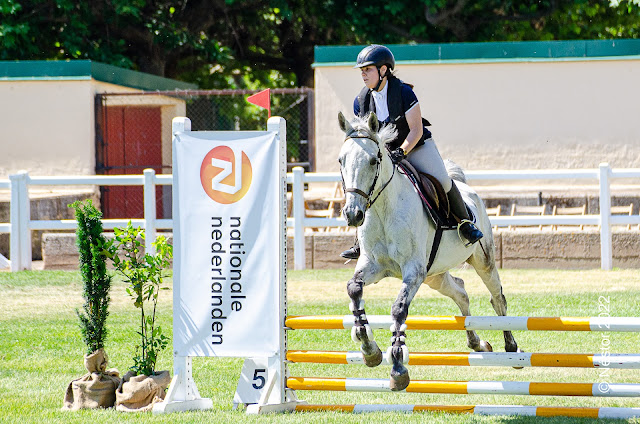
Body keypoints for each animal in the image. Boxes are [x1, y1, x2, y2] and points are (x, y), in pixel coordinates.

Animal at [338, 112, 516, 390]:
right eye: (341, 161)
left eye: (373, 160)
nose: (353, 214)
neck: (383, 210)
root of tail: (469, 190)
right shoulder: (373, 266)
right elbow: (354, 289)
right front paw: (369, 349)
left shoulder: (414, 271)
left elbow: (399, 309)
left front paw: (398, 367)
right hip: (435, 275)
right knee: (461, 292)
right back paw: (477, 343)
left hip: (482, 261)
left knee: (497, 298)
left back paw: (510, 346)